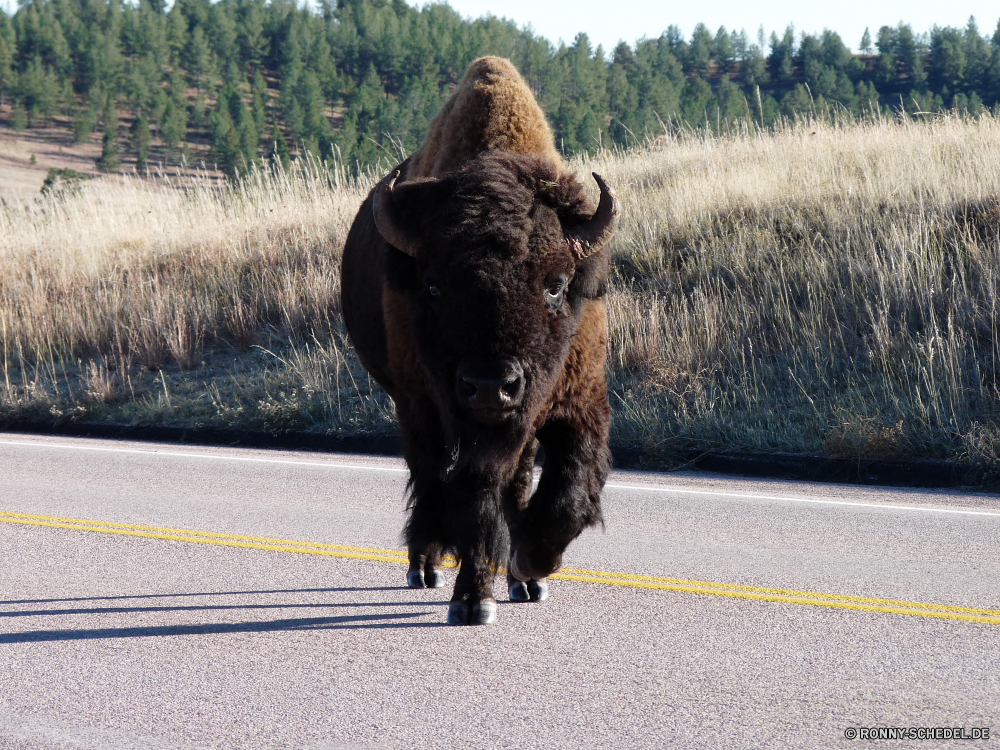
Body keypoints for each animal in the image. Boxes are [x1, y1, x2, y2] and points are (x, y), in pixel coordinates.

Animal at [340, 55, 616, 624]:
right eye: (433, 286)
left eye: (556, 284)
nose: (492, 385)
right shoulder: (449, 414)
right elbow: (473, 494)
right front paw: (472, 600)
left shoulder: (579, 401)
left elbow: (570, 491)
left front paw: (529, 565)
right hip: (415, 405)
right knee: (429, 479)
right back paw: (426, 567)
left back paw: (520, 581)